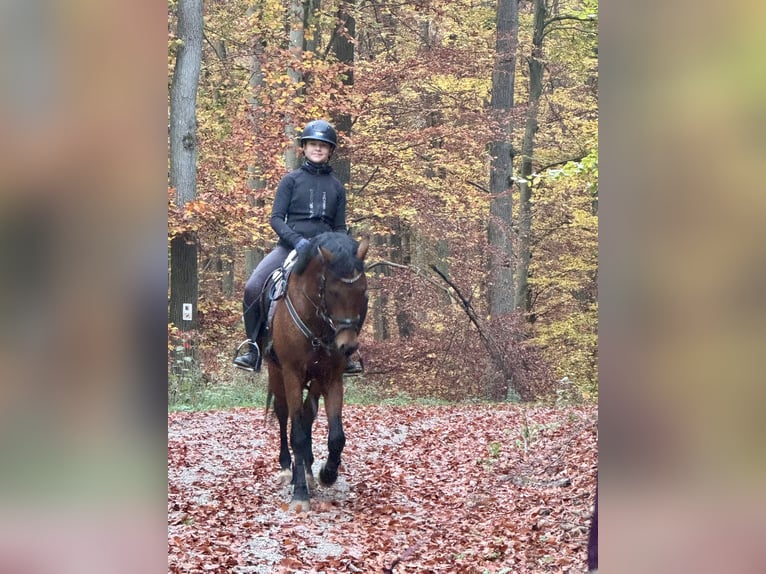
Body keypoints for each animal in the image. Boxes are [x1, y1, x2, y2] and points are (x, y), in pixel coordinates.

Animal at [262, 232, 370, 510]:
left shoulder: (331, 378)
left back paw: (309, 471)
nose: (347, 346)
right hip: (275, 371)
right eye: (332, 291)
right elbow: (297, 433)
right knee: (284, 415)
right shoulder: (291, 374)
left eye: (363, 293)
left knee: (307, 415)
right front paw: (300, 492)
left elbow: (336, 436)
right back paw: (287, 469)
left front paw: (326, 474)